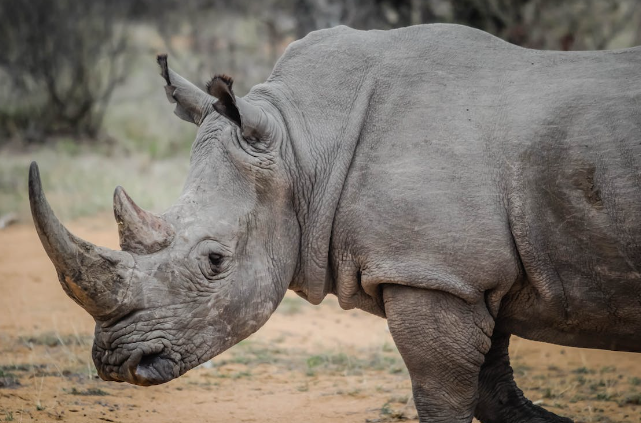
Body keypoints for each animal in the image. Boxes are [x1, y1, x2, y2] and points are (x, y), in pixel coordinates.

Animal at [29, 24, 641, 423]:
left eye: (215, 261)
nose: (117, 363)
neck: (302, 143)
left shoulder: (432, 273)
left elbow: (443, 395)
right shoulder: (466, 275)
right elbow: (495, 391)